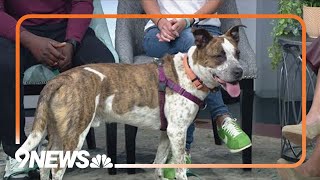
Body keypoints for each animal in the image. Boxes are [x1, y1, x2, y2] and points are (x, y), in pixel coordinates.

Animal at [17, 25, 245, 180]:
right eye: (219, 56)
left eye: (237, 54)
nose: (240, 72)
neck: (190, 72)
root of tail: (60, 79)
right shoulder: (178, 132)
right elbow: (180, 169)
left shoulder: (167, 133)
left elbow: (159, 164)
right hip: (74, 134)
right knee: (56, 170)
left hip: (56, 132)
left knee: (45, 165)